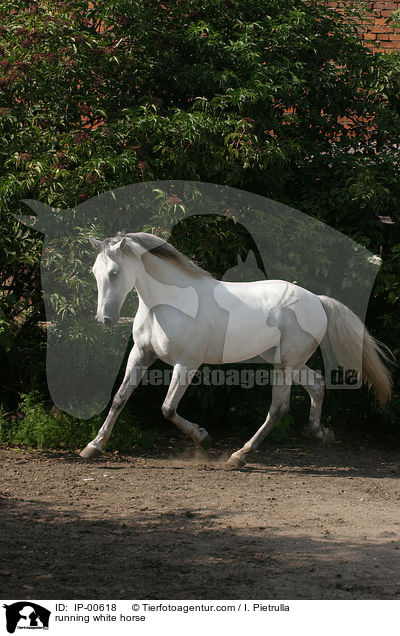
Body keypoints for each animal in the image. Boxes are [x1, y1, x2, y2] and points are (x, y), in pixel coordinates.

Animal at [79, 230, 392, 468]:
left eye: (115, 272)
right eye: (95, 272)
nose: (104, 319)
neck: (169, 302)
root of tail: (316, 299)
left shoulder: (187, 363)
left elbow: (167, 408)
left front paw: (202, 437)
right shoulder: (141, 355)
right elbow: (119, 398)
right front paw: (93, 446)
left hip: (285, 364)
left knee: (279, 408)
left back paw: (239, 455)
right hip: (281, 358)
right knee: (316, 384)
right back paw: (321, 433)